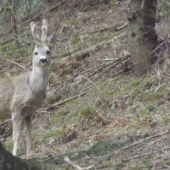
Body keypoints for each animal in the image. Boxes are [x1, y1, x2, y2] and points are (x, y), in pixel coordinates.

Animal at [0, 19, 53, 156]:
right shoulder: (16, 108)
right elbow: (16, 136)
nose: (43, 60)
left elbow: (29, 132)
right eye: (35, 52)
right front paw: (15, 154)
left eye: (48, 51)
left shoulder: (29, 111)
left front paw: (29, 152)